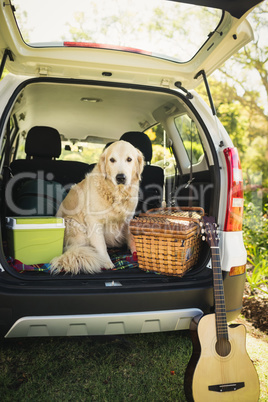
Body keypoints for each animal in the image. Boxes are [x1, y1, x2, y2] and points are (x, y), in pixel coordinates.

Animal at [49, 140, 143, 274]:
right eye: (112, 160)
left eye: (129, 159)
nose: (120, 177)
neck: (116, 194)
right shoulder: (94, 221)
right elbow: (101, 245)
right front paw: (106, 262)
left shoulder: (128, 219)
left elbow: (131, 237)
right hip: (76, 227)